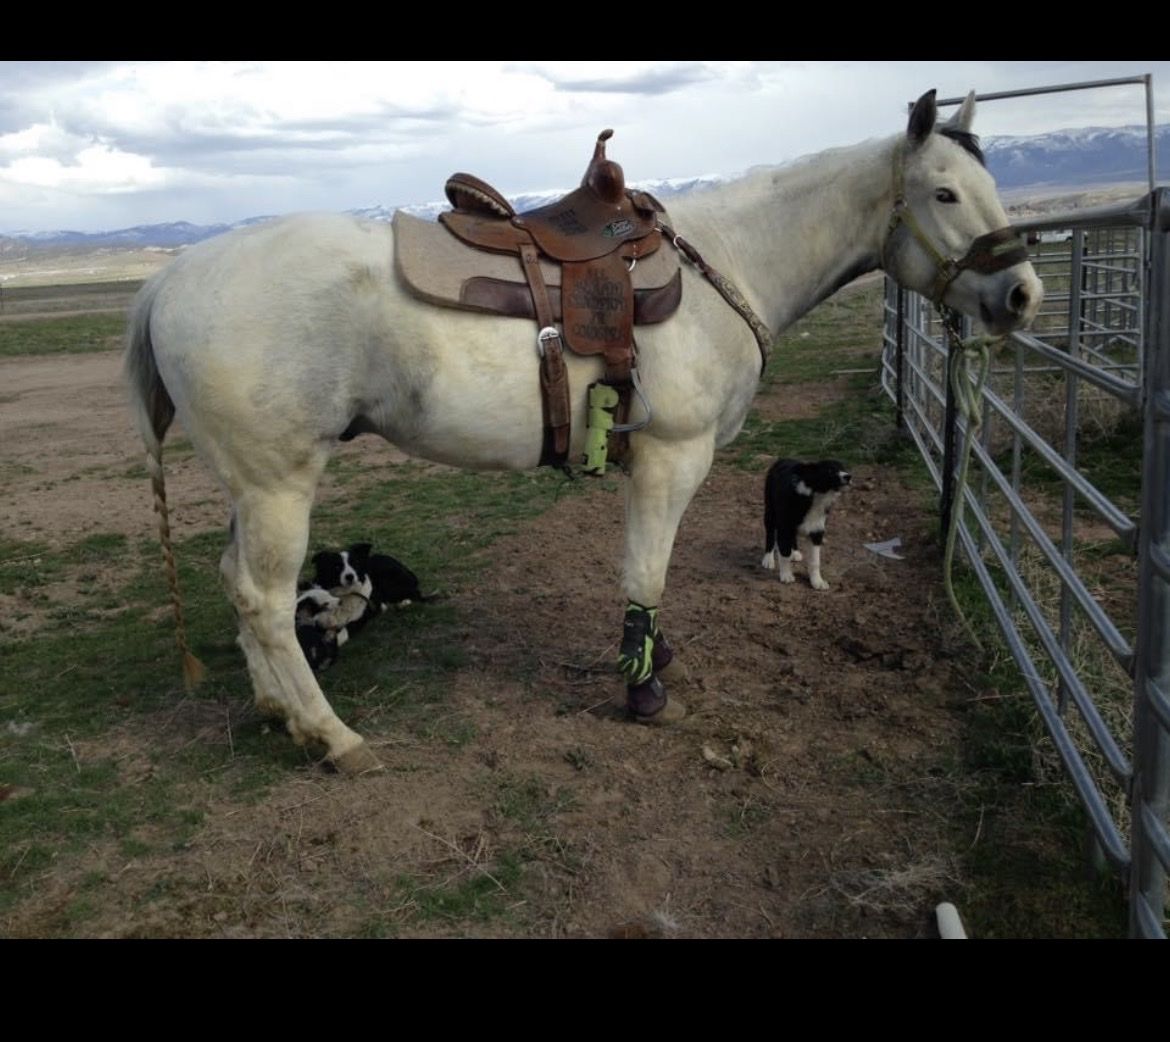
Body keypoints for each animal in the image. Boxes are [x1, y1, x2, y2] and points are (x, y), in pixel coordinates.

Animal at [124, 89, 1042, 773]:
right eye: (945, 193)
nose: (1023, 294)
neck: (729, 262)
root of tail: (169, 279)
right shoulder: (672, 458)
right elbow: (647, 574)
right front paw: (642, 689)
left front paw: (655, 661)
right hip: (279, 484)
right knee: (265, 599)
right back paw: (332, 735)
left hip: (250, 484)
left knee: (236, 585)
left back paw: (276, 710)